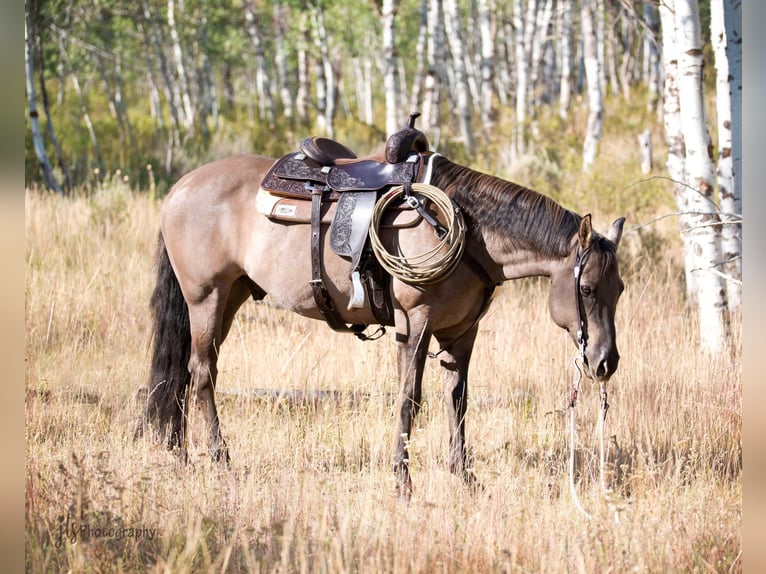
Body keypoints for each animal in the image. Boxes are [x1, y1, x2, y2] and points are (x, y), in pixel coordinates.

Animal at [144, 151, 624, 498]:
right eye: (586, 289)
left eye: (618, 289)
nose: (605, 362)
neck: (469, 231)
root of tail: (180, 187)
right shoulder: (416, 323)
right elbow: (409, 398)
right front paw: (402, 480)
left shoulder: (462, 333)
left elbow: (458, 401)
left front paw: (465, 478)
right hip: (206, 298)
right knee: (203, 373)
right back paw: (219, 456)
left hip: (230, 297)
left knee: (187, 370)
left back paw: (181, 453)